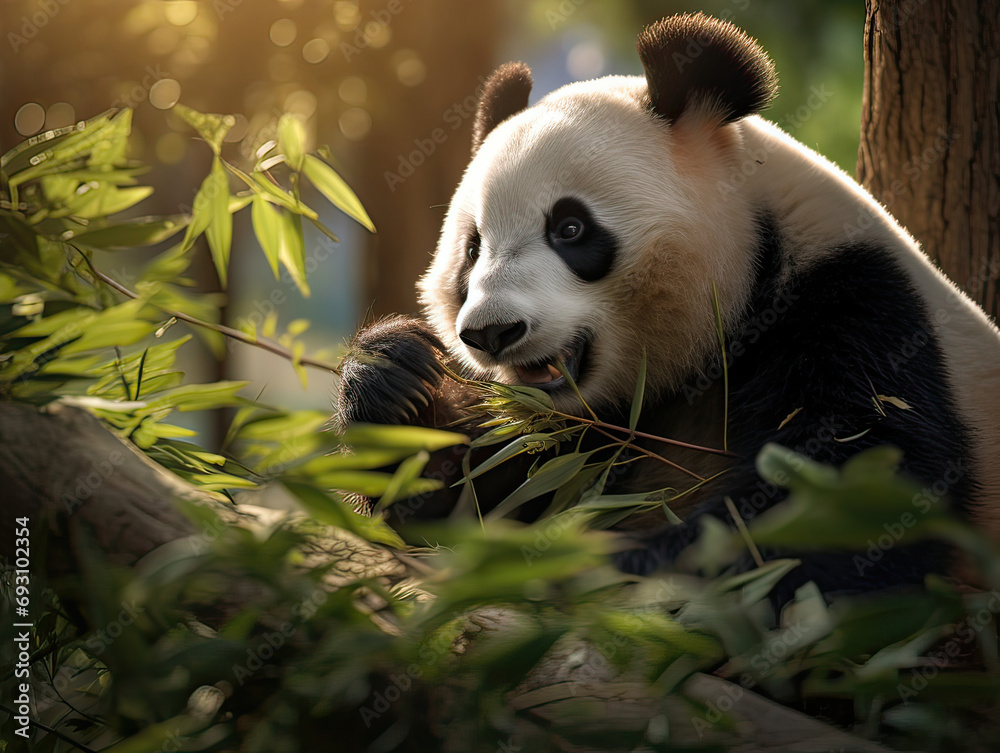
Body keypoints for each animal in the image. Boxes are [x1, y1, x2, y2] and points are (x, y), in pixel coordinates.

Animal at [338, 13, 1000, 602]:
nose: (492, 332)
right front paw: (396, 380)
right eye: (473, 248)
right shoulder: (587, 432)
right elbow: (487, 492)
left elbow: (854, 492)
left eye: (571, 228)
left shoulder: (860, 309)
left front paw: (615, 563)